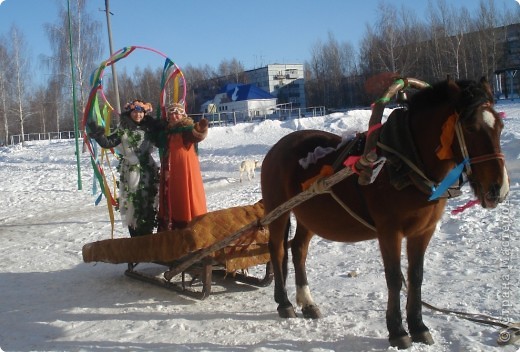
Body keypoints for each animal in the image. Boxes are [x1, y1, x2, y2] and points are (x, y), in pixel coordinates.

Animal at [260, 75, 508, 348]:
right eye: (470, 128)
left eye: (500, 127)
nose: (498, 188)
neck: (405, 161)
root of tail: (277, 148)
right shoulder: (389, 231)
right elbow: (394, 278)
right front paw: (397, 331)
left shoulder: (423, 231)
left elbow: (416, 276)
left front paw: (418, 327)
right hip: (278, 210)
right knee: (277, 249)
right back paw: (284, 303)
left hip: (308, 214)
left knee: (298, 250)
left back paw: (307, 302)